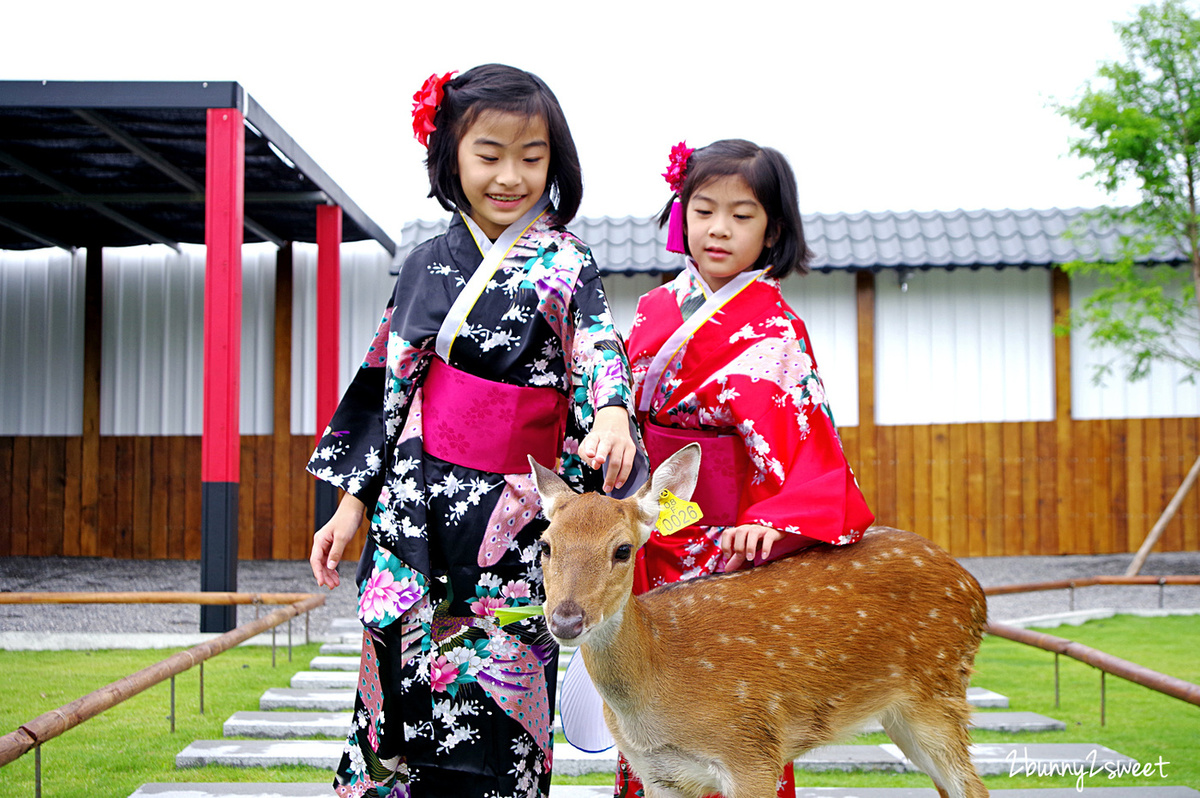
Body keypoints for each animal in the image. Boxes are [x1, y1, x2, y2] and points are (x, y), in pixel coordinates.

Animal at [530, 444, 988, 792]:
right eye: (545, 544)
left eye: (623, 549)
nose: (566, 621)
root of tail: (975, 590)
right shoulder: (658, 773)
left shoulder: (751, 751)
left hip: (938, 694)